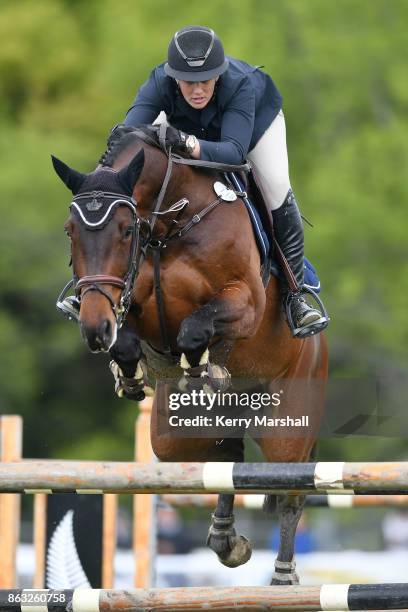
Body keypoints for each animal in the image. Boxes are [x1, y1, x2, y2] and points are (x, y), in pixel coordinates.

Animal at [53, 123, 328, 584]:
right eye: (71, 231)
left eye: (126, 230)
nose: (94, 329)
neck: (169, 227)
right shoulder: (125, 304)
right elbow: (132, 337)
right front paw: (130, 372)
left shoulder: (245, 303)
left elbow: (196, 328)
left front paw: (202, 369)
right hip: (173, 440)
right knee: (225, 459)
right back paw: (227, 539)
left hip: (288, 421)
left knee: (290, 491)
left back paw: (283, 579)